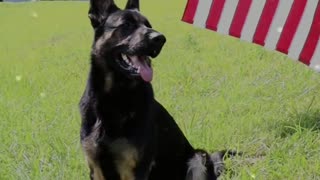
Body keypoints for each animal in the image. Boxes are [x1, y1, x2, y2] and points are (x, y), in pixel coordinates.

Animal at [77, 0, 232, 179]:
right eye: (126, 24)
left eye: (148, 25)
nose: (160, 39)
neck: (114, 96)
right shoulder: (96, 169)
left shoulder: (134, 170)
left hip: (199, 157)